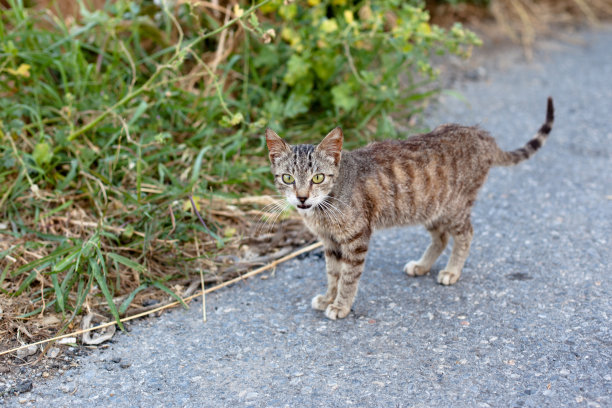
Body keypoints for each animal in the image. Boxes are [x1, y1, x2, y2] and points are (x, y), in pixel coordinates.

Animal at [266, 98, 552, 318]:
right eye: (288, 178)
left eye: (317, 178)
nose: (302, 198)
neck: (323, 210)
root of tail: (480, 133)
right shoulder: (330, 243)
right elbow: (332, 274)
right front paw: (329, 298)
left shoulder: (356, 239)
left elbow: (347, 277)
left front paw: (340, 305)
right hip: (431, 209)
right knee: (441, 237)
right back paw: (422, 265)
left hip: (454, 208)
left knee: (465, 234)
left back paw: (452, 270)